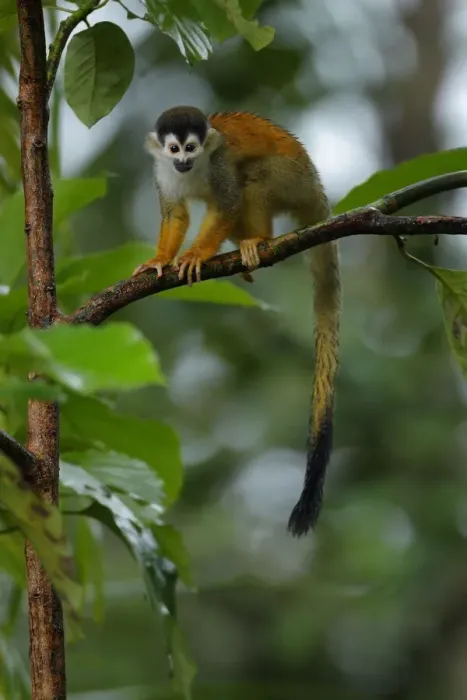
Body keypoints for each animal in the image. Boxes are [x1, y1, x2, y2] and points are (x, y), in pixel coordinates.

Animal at [133, 106, 341, 536]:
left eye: (192, 148)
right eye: (174, 149)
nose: (183, 161)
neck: (191, 171)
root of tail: (318, 189)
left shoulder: (219, 163)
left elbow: (226, 205)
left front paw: (194, 256)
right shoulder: (162, 173)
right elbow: (176, 214)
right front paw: (161, 259)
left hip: (294, 180)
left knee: (254, 178)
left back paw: (258, 240)